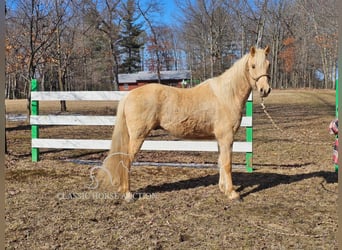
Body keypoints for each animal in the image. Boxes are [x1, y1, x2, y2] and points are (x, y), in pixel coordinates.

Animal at [97, 45, 272, 201]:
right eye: (253, 66)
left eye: (268, 65)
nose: (265, 90)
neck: (225, 95)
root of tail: (129, 94)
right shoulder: (227, 137)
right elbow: (227, 164)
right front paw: (233, 194)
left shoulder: (220, 139)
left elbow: (221, 162)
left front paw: (223, 189)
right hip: (138, 137)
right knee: (126, 161)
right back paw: (128, 195)